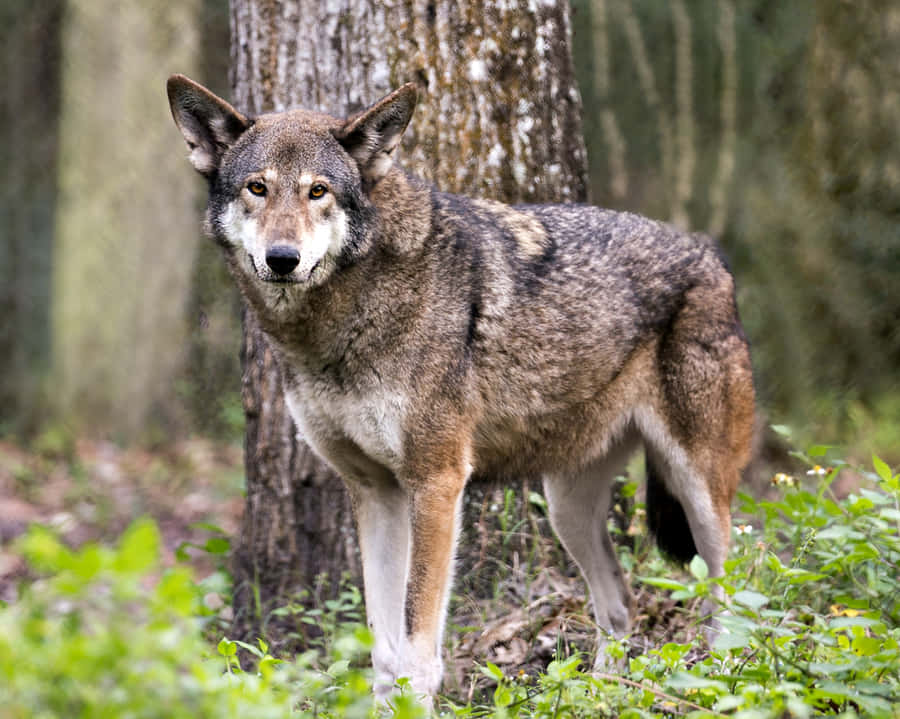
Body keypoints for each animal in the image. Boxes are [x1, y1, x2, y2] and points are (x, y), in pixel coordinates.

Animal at [167, 75, 755, 698]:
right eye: (257, 187)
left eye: (318, 191)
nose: (282, 259)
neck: (342, 318)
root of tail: (711, 253)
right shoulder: (374, 491)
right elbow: (384, 651)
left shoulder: (437, 482)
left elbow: (417, 646)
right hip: (566, 509)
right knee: (620, 606)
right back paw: (599, 692)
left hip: (698, 491)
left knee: (732, 590)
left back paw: (723, 679)